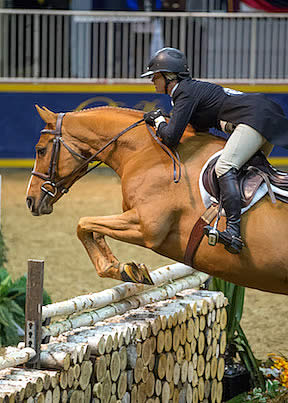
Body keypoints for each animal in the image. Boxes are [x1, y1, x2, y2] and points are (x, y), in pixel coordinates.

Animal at [26, 105, 288, 296]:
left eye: (40, 150)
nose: (30, 200)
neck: (145, 151)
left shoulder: (146, 227)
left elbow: (83, 224)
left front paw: (123, 269)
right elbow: (91, 229)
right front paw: (125, 269)